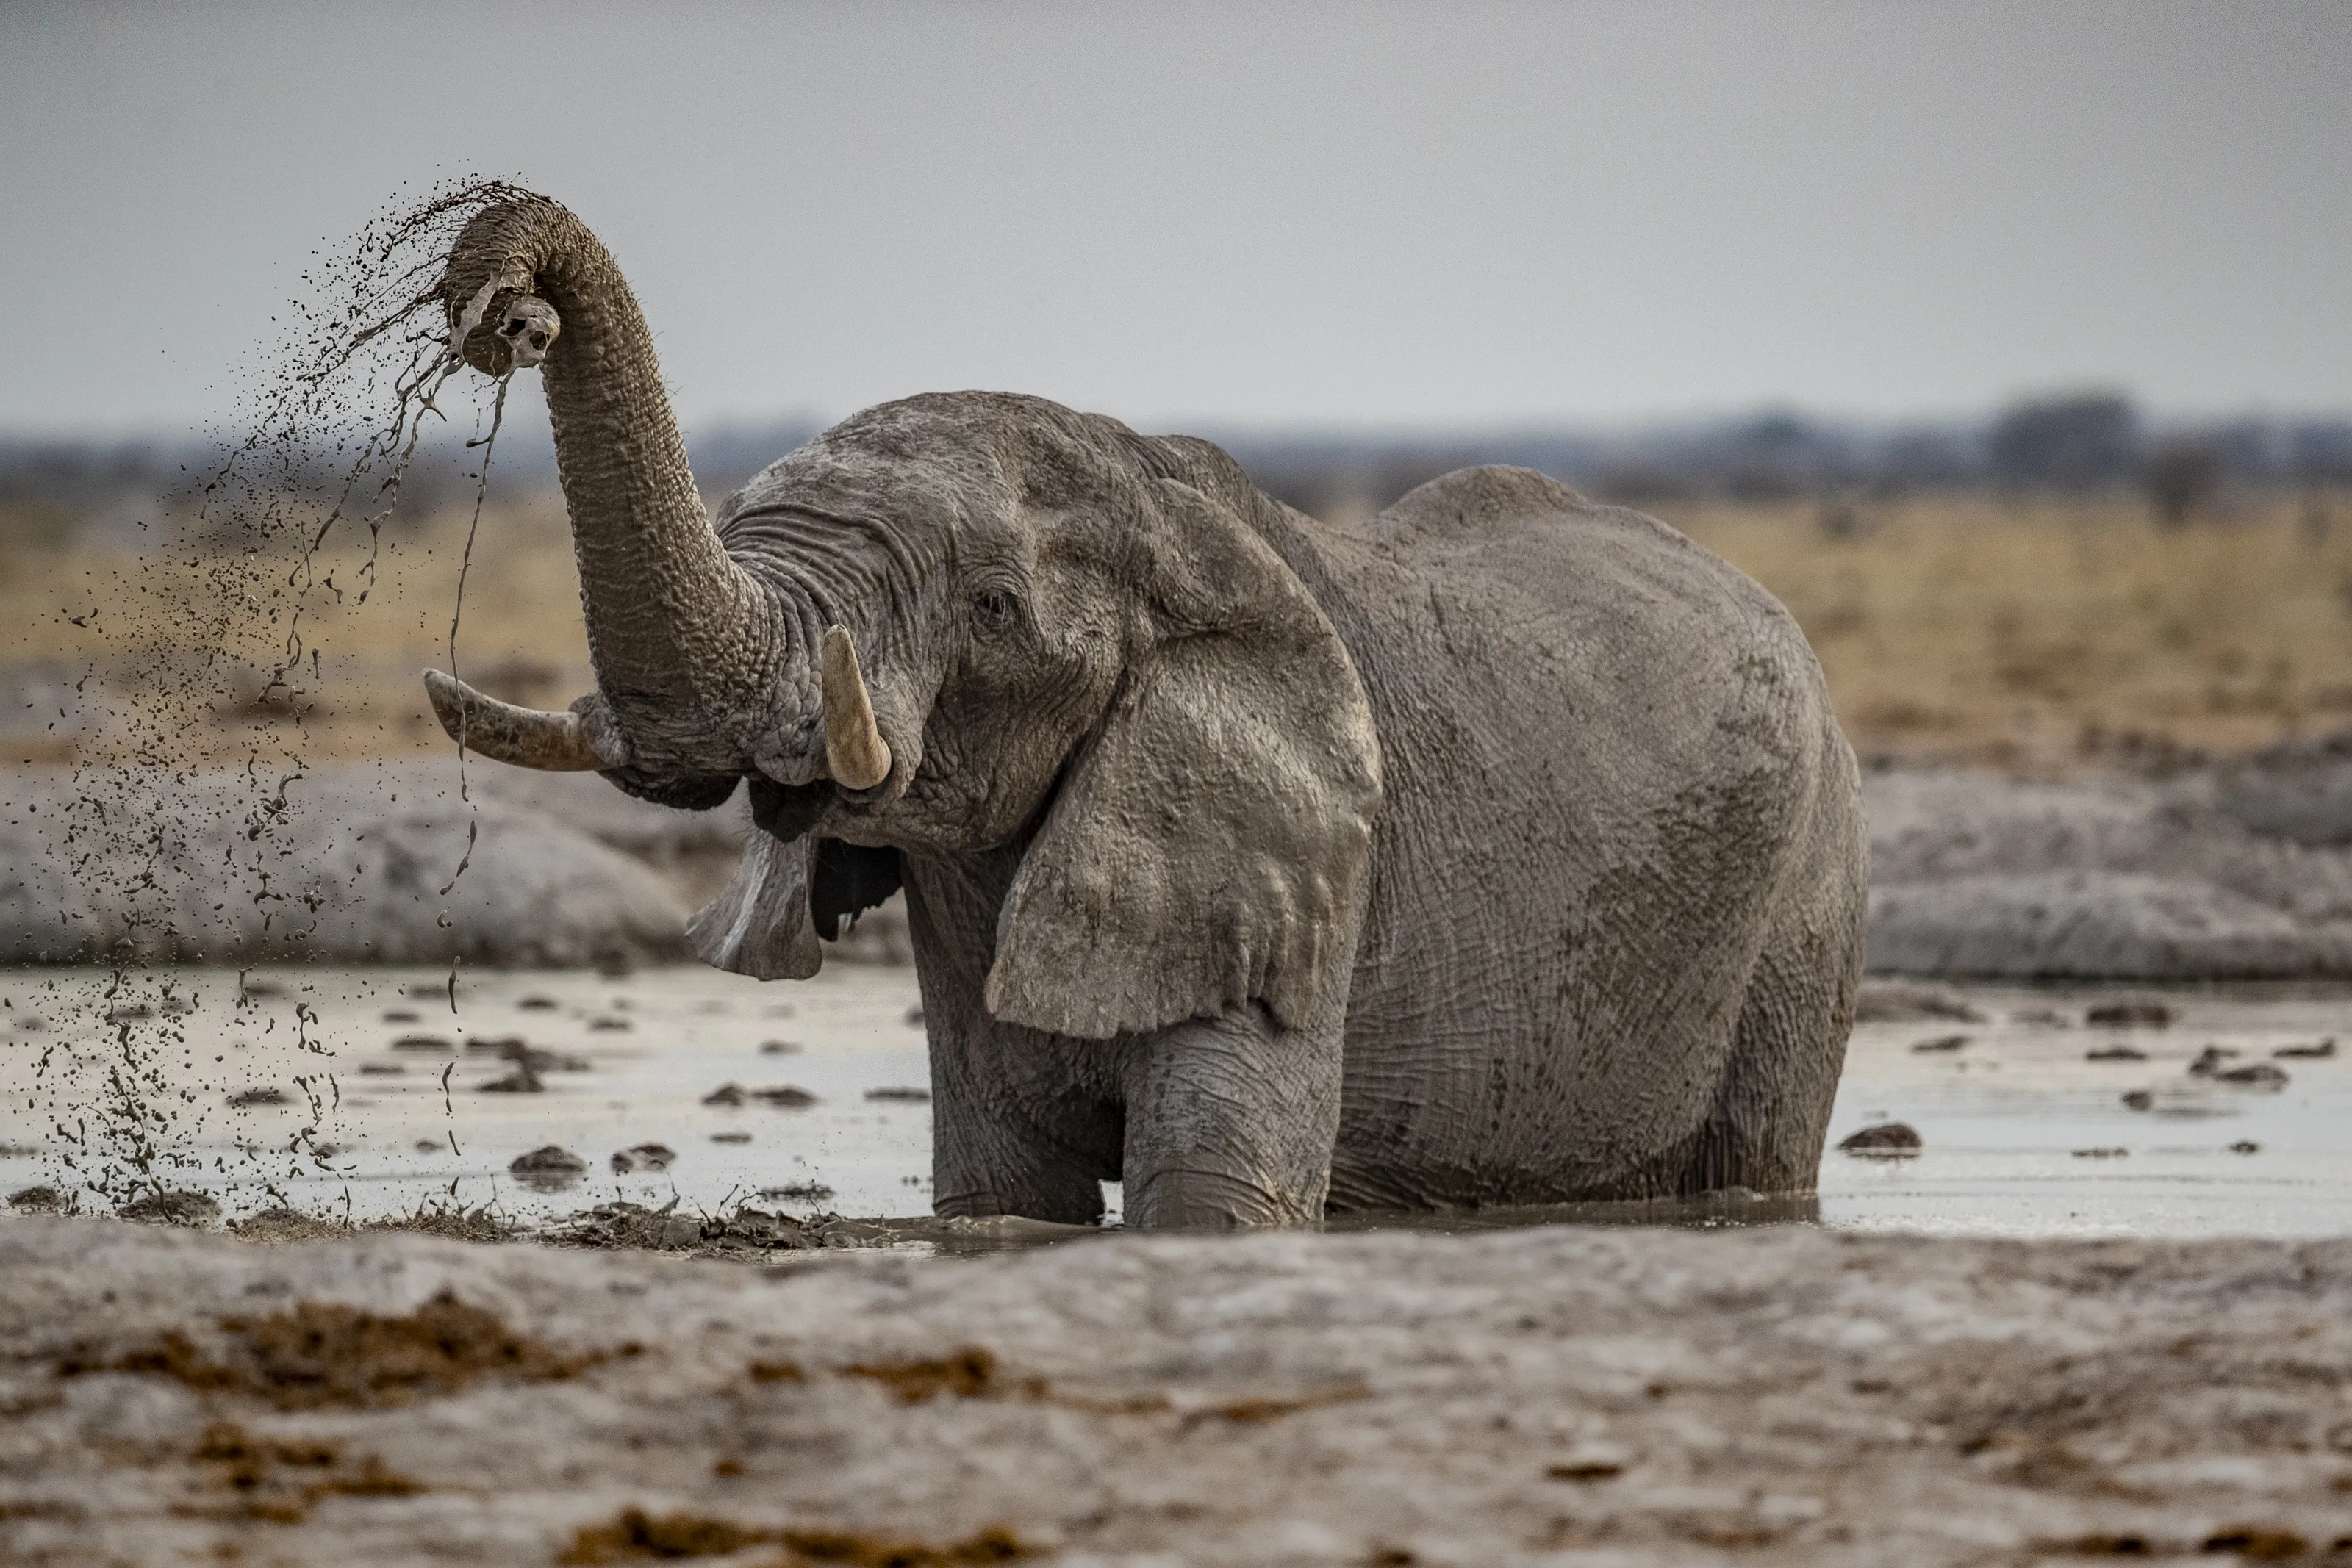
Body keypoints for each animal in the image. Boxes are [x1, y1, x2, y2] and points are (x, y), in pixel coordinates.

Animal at [425, 193, 1869, 1229]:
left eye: (993, 609)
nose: (503, 308)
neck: (1163, 516)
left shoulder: (1291, 881)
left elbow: (1214, 1205)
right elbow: (1003, 1196)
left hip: (1810, 900)